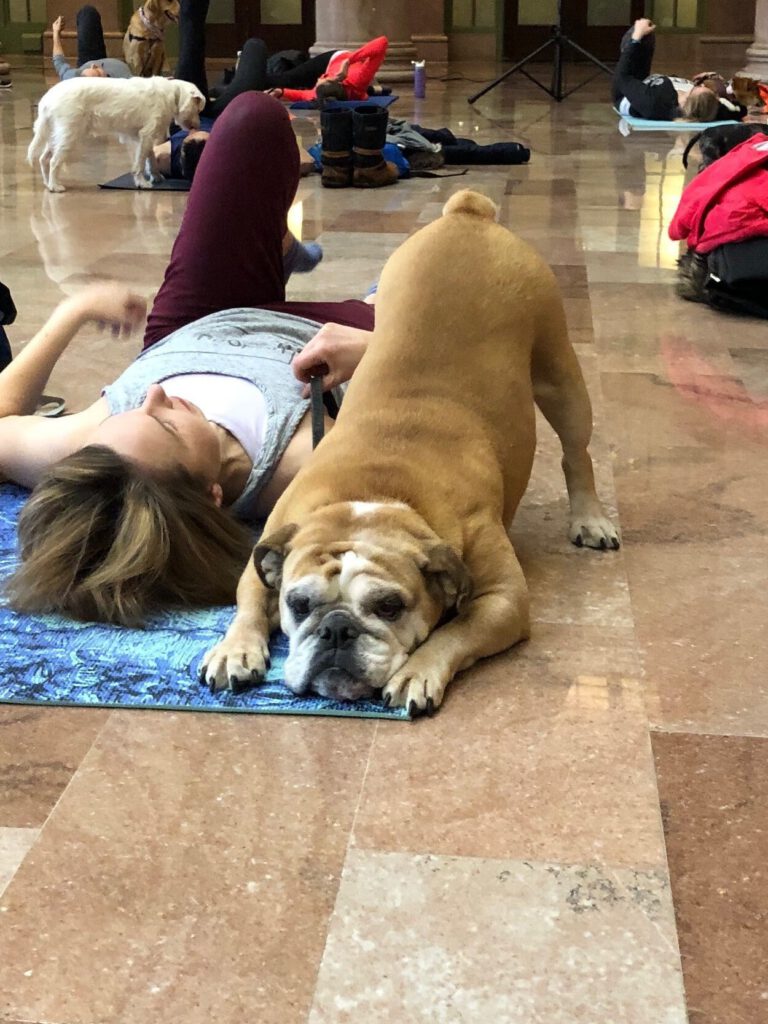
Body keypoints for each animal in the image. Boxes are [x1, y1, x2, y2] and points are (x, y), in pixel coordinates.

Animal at [28, 75, 205, 192]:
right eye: (197, 108)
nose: (198, 125)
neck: (172, 93)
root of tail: (47, 99)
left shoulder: (144, 139)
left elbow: (151, 157)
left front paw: (156, 176)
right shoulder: (146, 136)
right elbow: (140, 163)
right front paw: (142, 182)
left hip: (55, 136)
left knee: (44, 159)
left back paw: (48, 183)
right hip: (68, 136)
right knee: (54, 161)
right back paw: (55, 186)